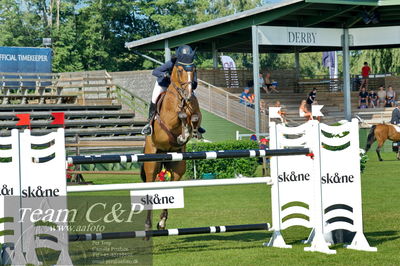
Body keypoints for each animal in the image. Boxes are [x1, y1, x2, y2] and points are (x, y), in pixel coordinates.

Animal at [141, 60, 203, 233]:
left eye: (194, 70)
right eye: (180, 70)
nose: (188, 94)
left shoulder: (196, 112)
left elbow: (195, 117)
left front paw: (190, 133)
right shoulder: (169, 119)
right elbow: (181, 115)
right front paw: (184, 132)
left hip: (177, 166)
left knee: (170, 185)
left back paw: (162, 222)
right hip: (152, 163)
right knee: (150, 185)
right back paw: (148, 224)